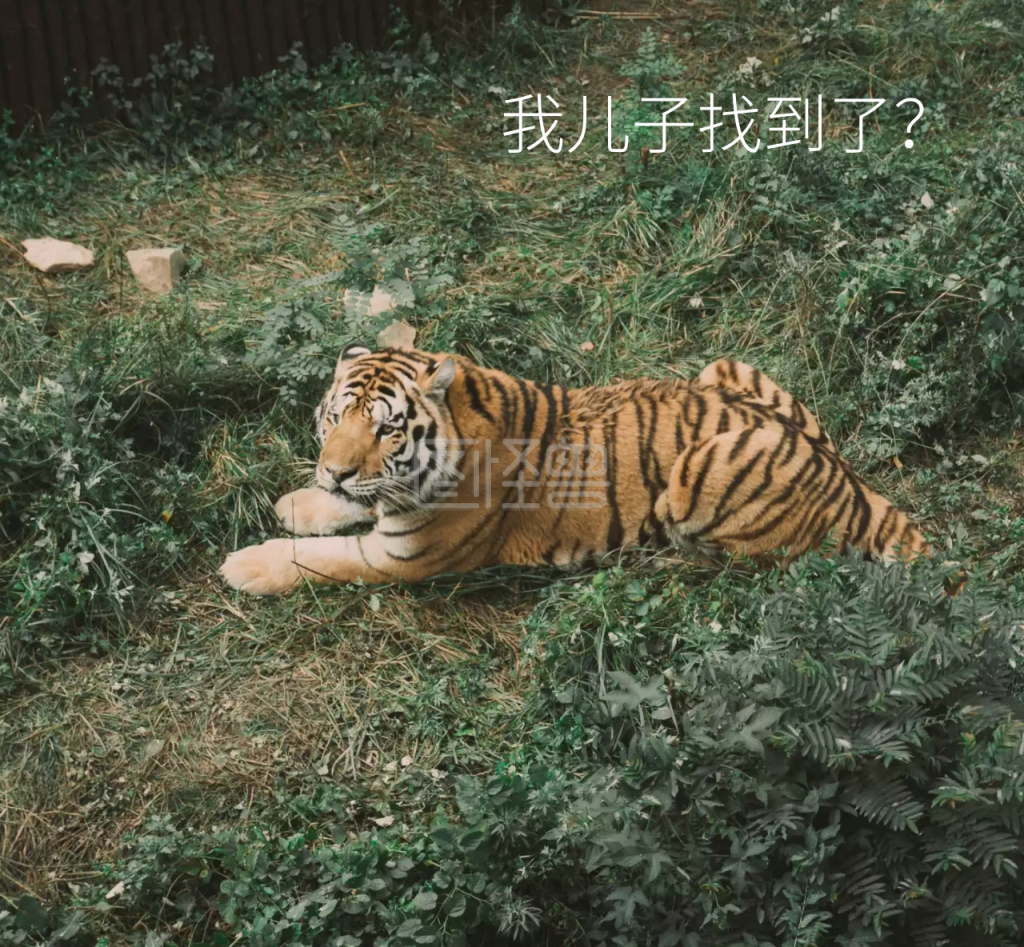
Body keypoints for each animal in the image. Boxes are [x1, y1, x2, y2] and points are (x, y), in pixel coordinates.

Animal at [219, 345, 930, 596]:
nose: (334, 470)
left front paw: (248, 565)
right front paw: (302, 500)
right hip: (721, 368)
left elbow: (324, 559)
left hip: (698, 472)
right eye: (336, 417)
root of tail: (849, 479)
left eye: (388, 427)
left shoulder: (405, 558)